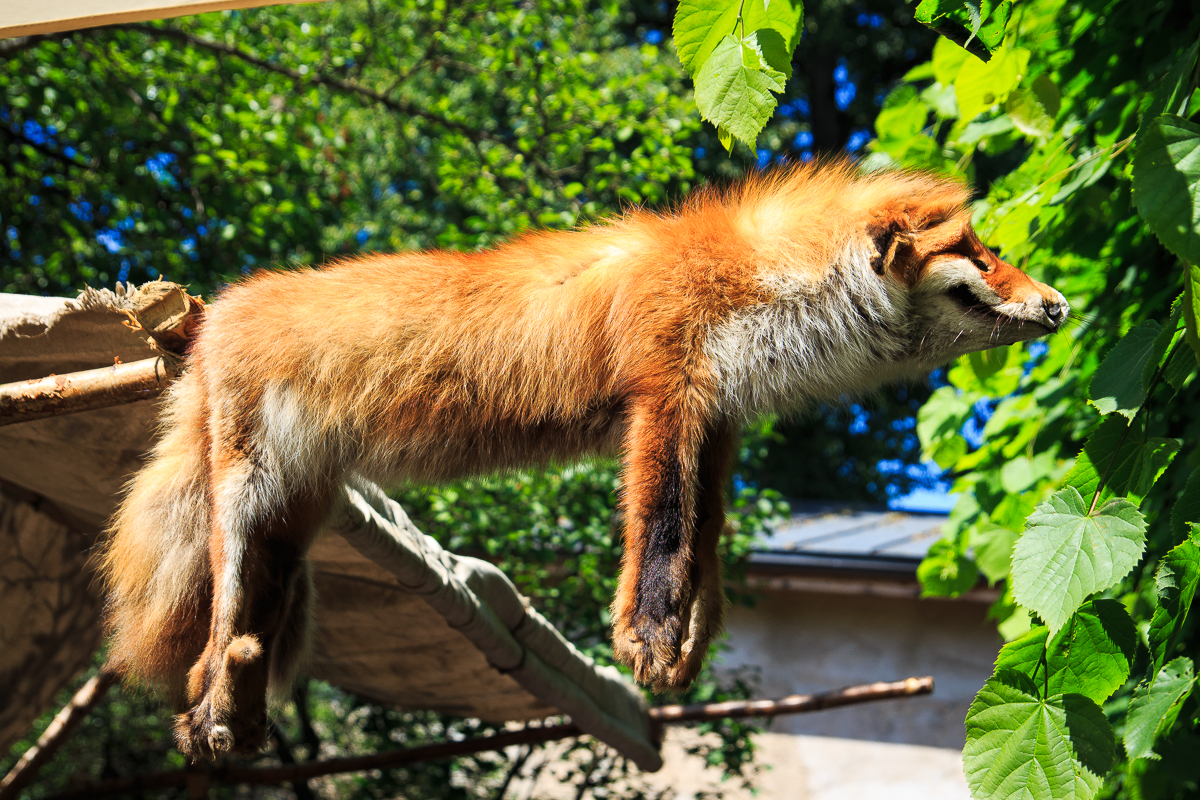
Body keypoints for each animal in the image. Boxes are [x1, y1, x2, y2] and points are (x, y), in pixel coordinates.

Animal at [100, 162, 1068, 759]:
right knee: (222, 628)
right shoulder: (665, 396)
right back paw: (217, 714)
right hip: (247, 502)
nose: (1060, 303)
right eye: (980, 255)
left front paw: (685, 648)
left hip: (292, 531)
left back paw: (224, 721)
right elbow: (660, 536)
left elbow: (704, 553)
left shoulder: (715, 422)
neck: (765, 285)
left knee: (235, 642)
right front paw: (645, 639)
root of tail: (211, 314)